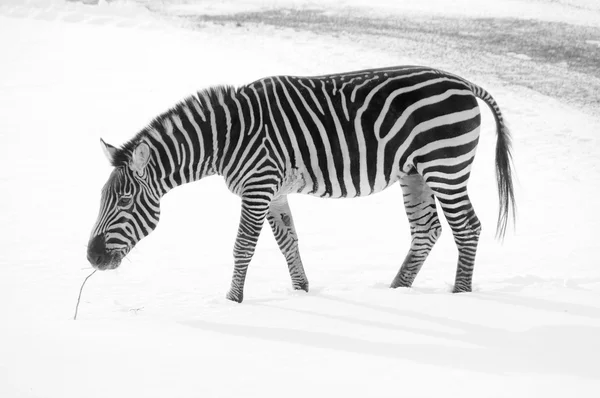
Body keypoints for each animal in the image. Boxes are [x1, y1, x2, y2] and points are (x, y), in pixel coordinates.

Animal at [86, 66, 512, 302]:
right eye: (103, 198)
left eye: (124, 201)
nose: (92, 258)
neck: (227, 138)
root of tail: (464, 83)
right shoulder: (273, 191)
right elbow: (288, 241)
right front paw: (302, 292)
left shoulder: (258, 186)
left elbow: (243, 247)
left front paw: (232, 301)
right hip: (415, 172)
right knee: (427, 230)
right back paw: (398, 291)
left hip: (445, 165)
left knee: (466, 227)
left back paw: (459, 297)